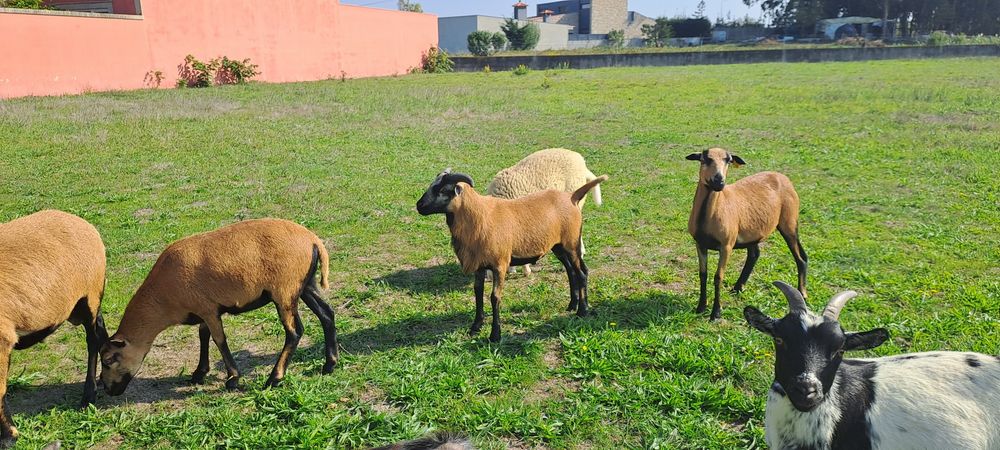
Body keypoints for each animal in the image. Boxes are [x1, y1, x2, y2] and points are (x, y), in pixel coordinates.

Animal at [99, 219, 338, 395]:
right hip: (305, 284)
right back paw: (329, 365)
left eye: (108, 360)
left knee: (294, 332)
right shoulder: (204, 309)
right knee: (327, 314)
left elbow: (219, 340)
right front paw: (199, 373)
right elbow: (203, 336)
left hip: (284, 290)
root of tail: (313, 240)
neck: (163, 300)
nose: (107, 389)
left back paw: (274, 378)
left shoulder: (208, 309)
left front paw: (232, 379)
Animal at [416, 169, 607, 342]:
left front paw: (495, 335)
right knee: (572, 271)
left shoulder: (500, 264)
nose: (419, 206)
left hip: (571, 244)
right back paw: (572, 305)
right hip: (558, 246)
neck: (480, 217)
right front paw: (475, 327)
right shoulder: (479, 265)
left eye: (442, 190)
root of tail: (572, 197)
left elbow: (495, 297)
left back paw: (582, 311)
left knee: (581, 273)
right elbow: (478, 292)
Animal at [686, 148, 807, 320]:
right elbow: (703, 274)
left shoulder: (726, 245)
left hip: (789, 222)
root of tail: (782, 176)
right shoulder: (700, 243)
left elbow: (718, 277)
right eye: (705, 159)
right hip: (754, 231)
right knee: (754, 254)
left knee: (801, 257)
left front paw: (716, 313)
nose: (719, 181)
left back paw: (802, 294)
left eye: (728, 160)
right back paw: (738, 287)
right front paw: (701, 307)